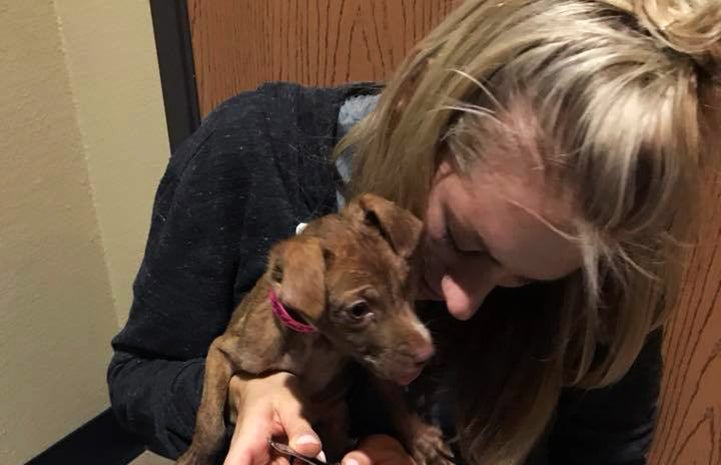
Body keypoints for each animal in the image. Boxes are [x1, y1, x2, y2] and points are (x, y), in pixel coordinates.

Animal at [176, 192, 450, 464]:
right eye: (358, 310)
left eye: (406, 284)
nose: (427, 355)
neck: (317, 344)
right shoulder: (221, 351)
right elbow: (210, 420)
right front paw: (196, 455)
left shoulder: (369, 366)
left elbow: (392, 396)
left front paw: (420, 438)